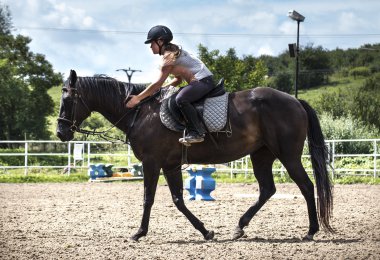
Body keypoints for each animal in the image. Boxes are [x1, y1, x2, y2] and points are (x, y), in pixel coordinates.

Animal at [55, 69, 332, 242]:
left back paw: (311, 231)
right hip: (261, 156)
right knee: (267, 189)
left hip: (288, 156)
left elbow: (148, 199)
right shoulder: (170, 165)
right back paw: (239, 227)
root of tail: (295, 101)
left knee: (306, 186)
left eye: (68, 100)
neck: (140, 112)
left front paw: (139, 232)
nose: (60, 132)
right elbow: (178, 200)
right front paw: (205, 231)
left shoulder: (152, 163)